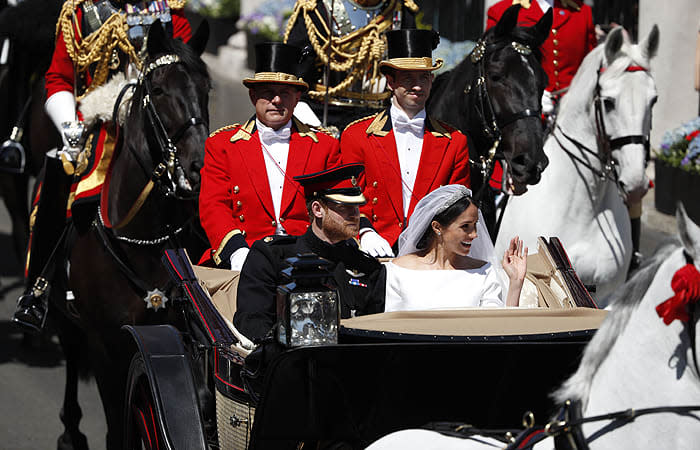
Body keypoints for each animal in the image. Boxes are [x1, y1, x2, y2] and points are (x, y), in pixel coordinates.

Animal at [49, 22, 209, 450]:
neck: (144, 242)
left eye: (205, 88)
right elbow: (118, 428)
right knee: (70, 352)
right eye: (158, 89)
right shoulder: (107, 345)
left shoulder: (179, 338)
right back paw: (70, 431)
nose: (196, 167)